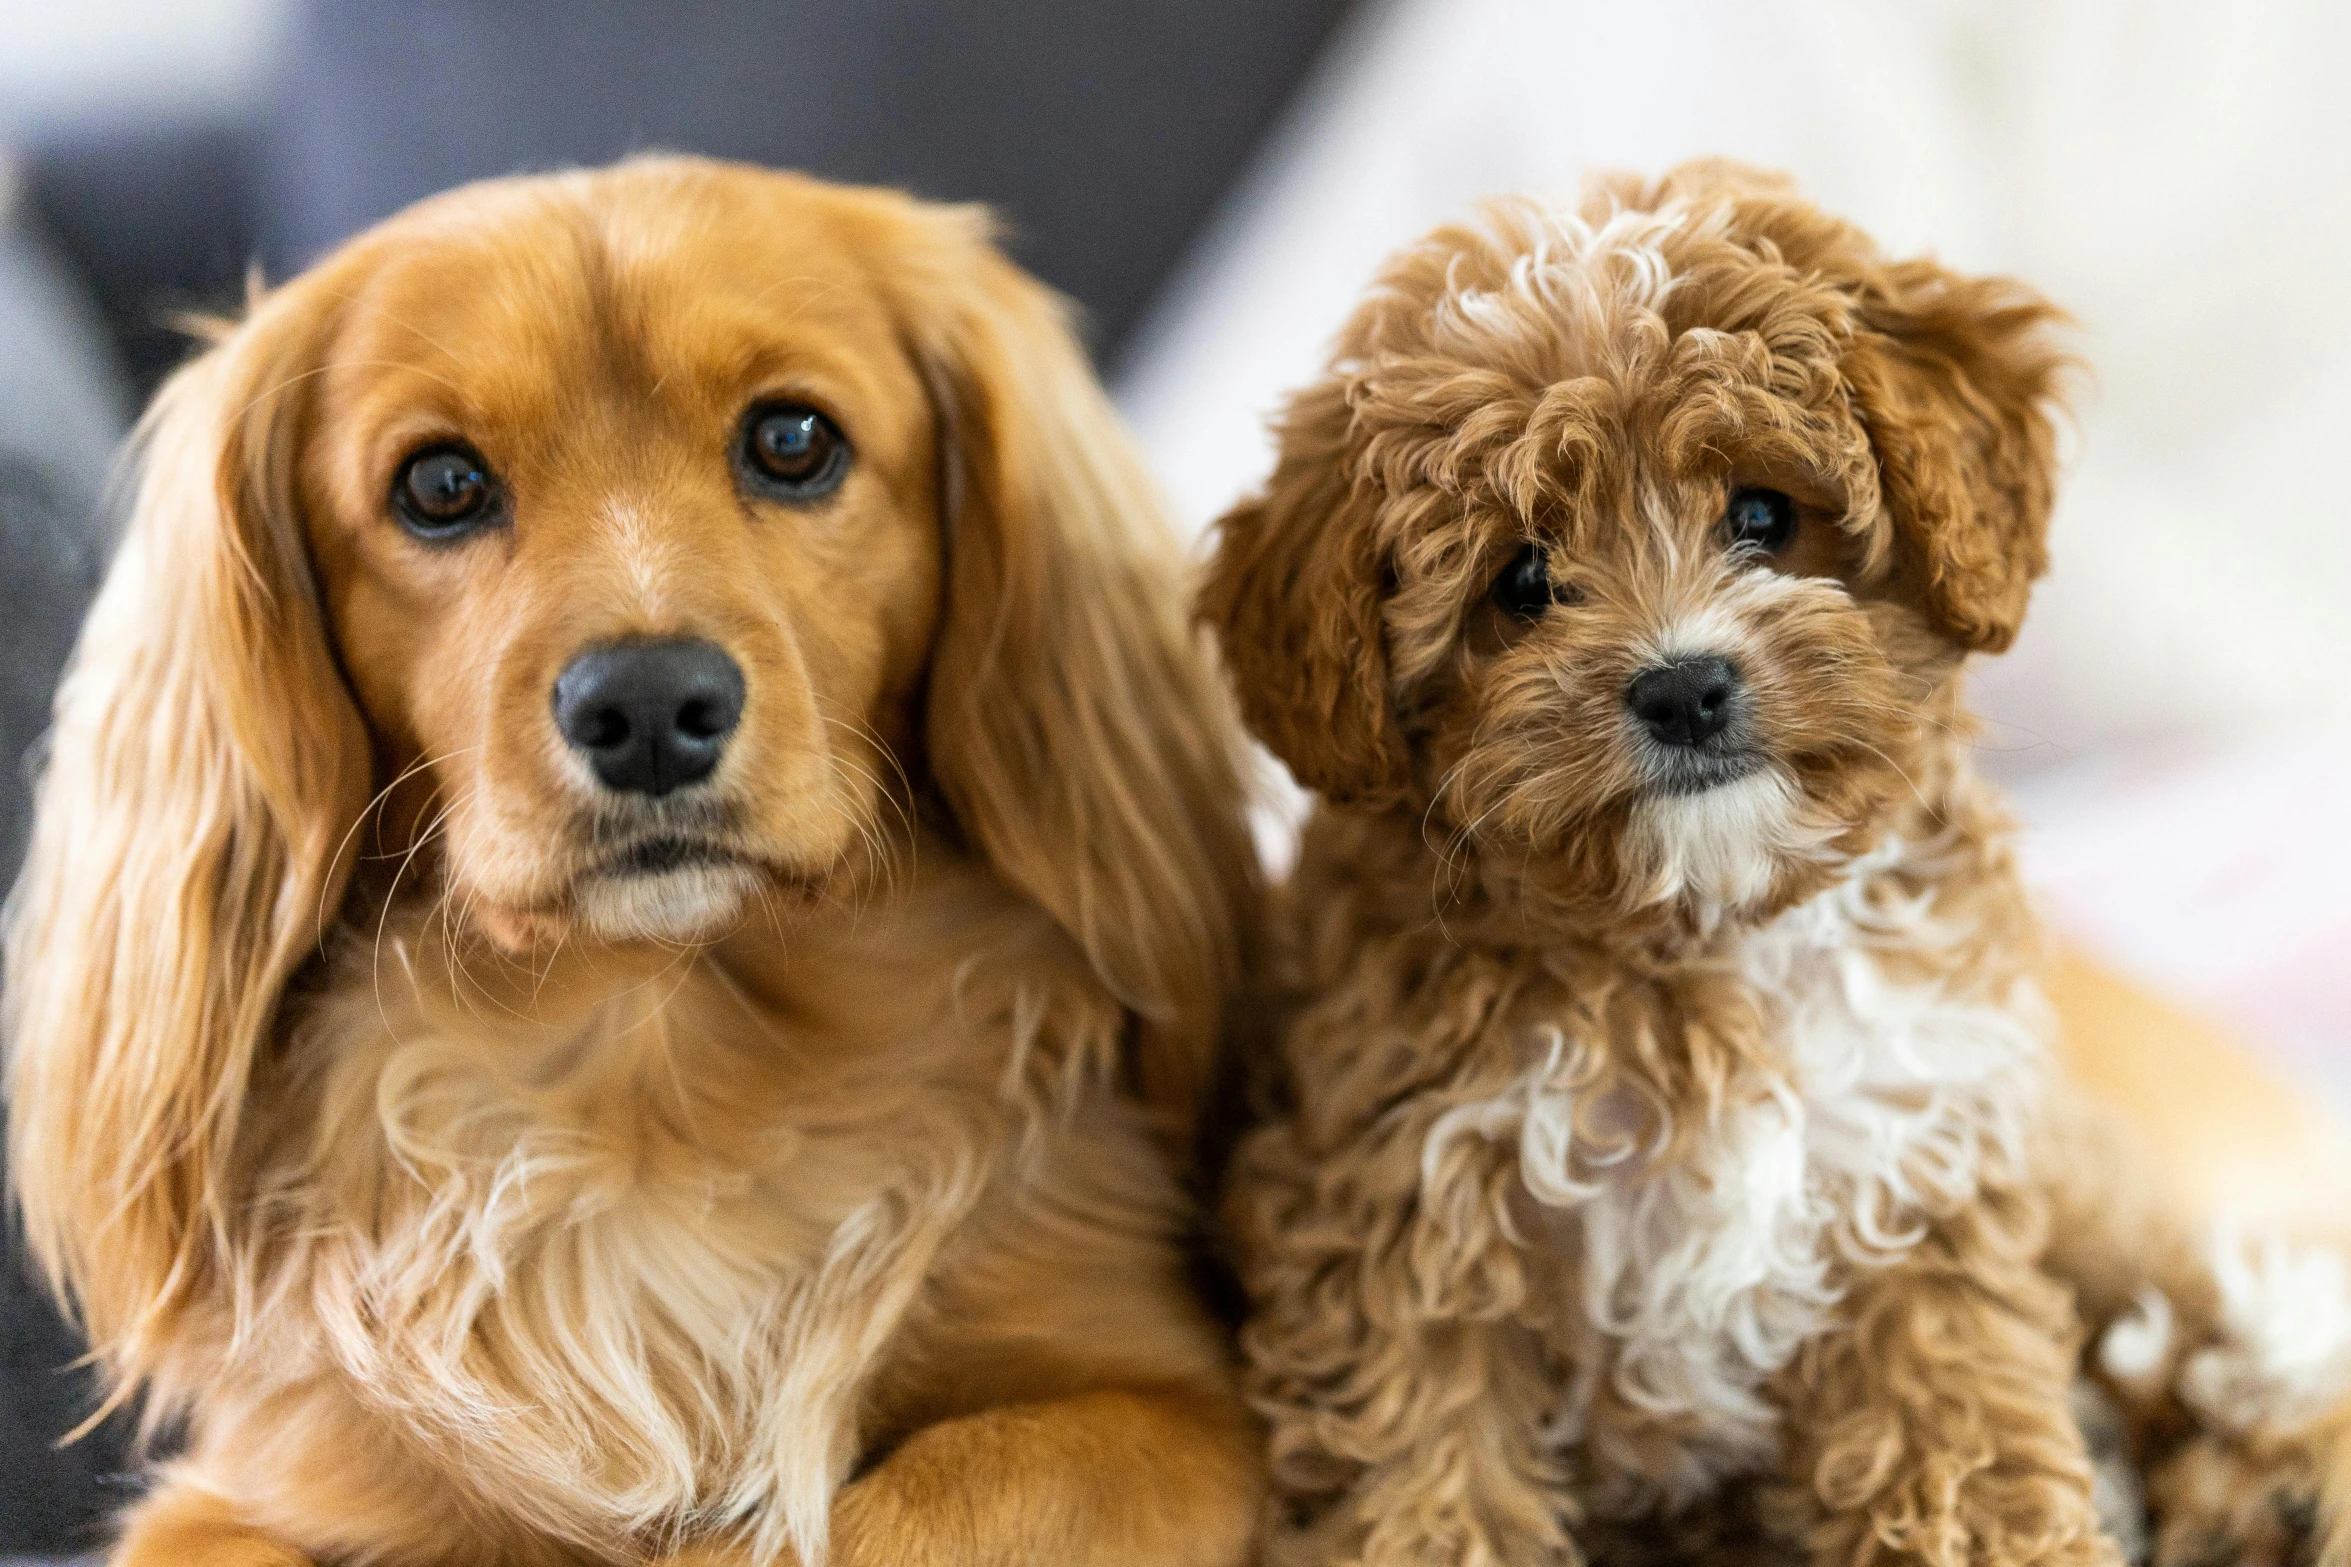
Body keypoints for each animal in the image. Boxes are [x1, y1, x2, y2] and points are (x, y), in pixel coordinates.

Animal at [4, 156, 1269, 1567]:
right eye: (439, 486)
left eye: (792, 440)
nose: (650, 703)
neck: (661, 1069)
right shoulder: (252, 1487)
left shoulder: (1173, 1412)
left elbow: (927, 1495)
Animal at [1203, 159, 2341, 1567]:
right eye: (1521, 580)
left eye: (1760, 514)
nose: (1683, 686)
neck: (1704, 935)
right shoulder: (1406, 1228)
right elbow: (1427, 1486)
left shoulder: (1917, 1192)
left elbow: (1965, 1467)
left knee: (2205, 1306)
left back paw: (2277, 1475)